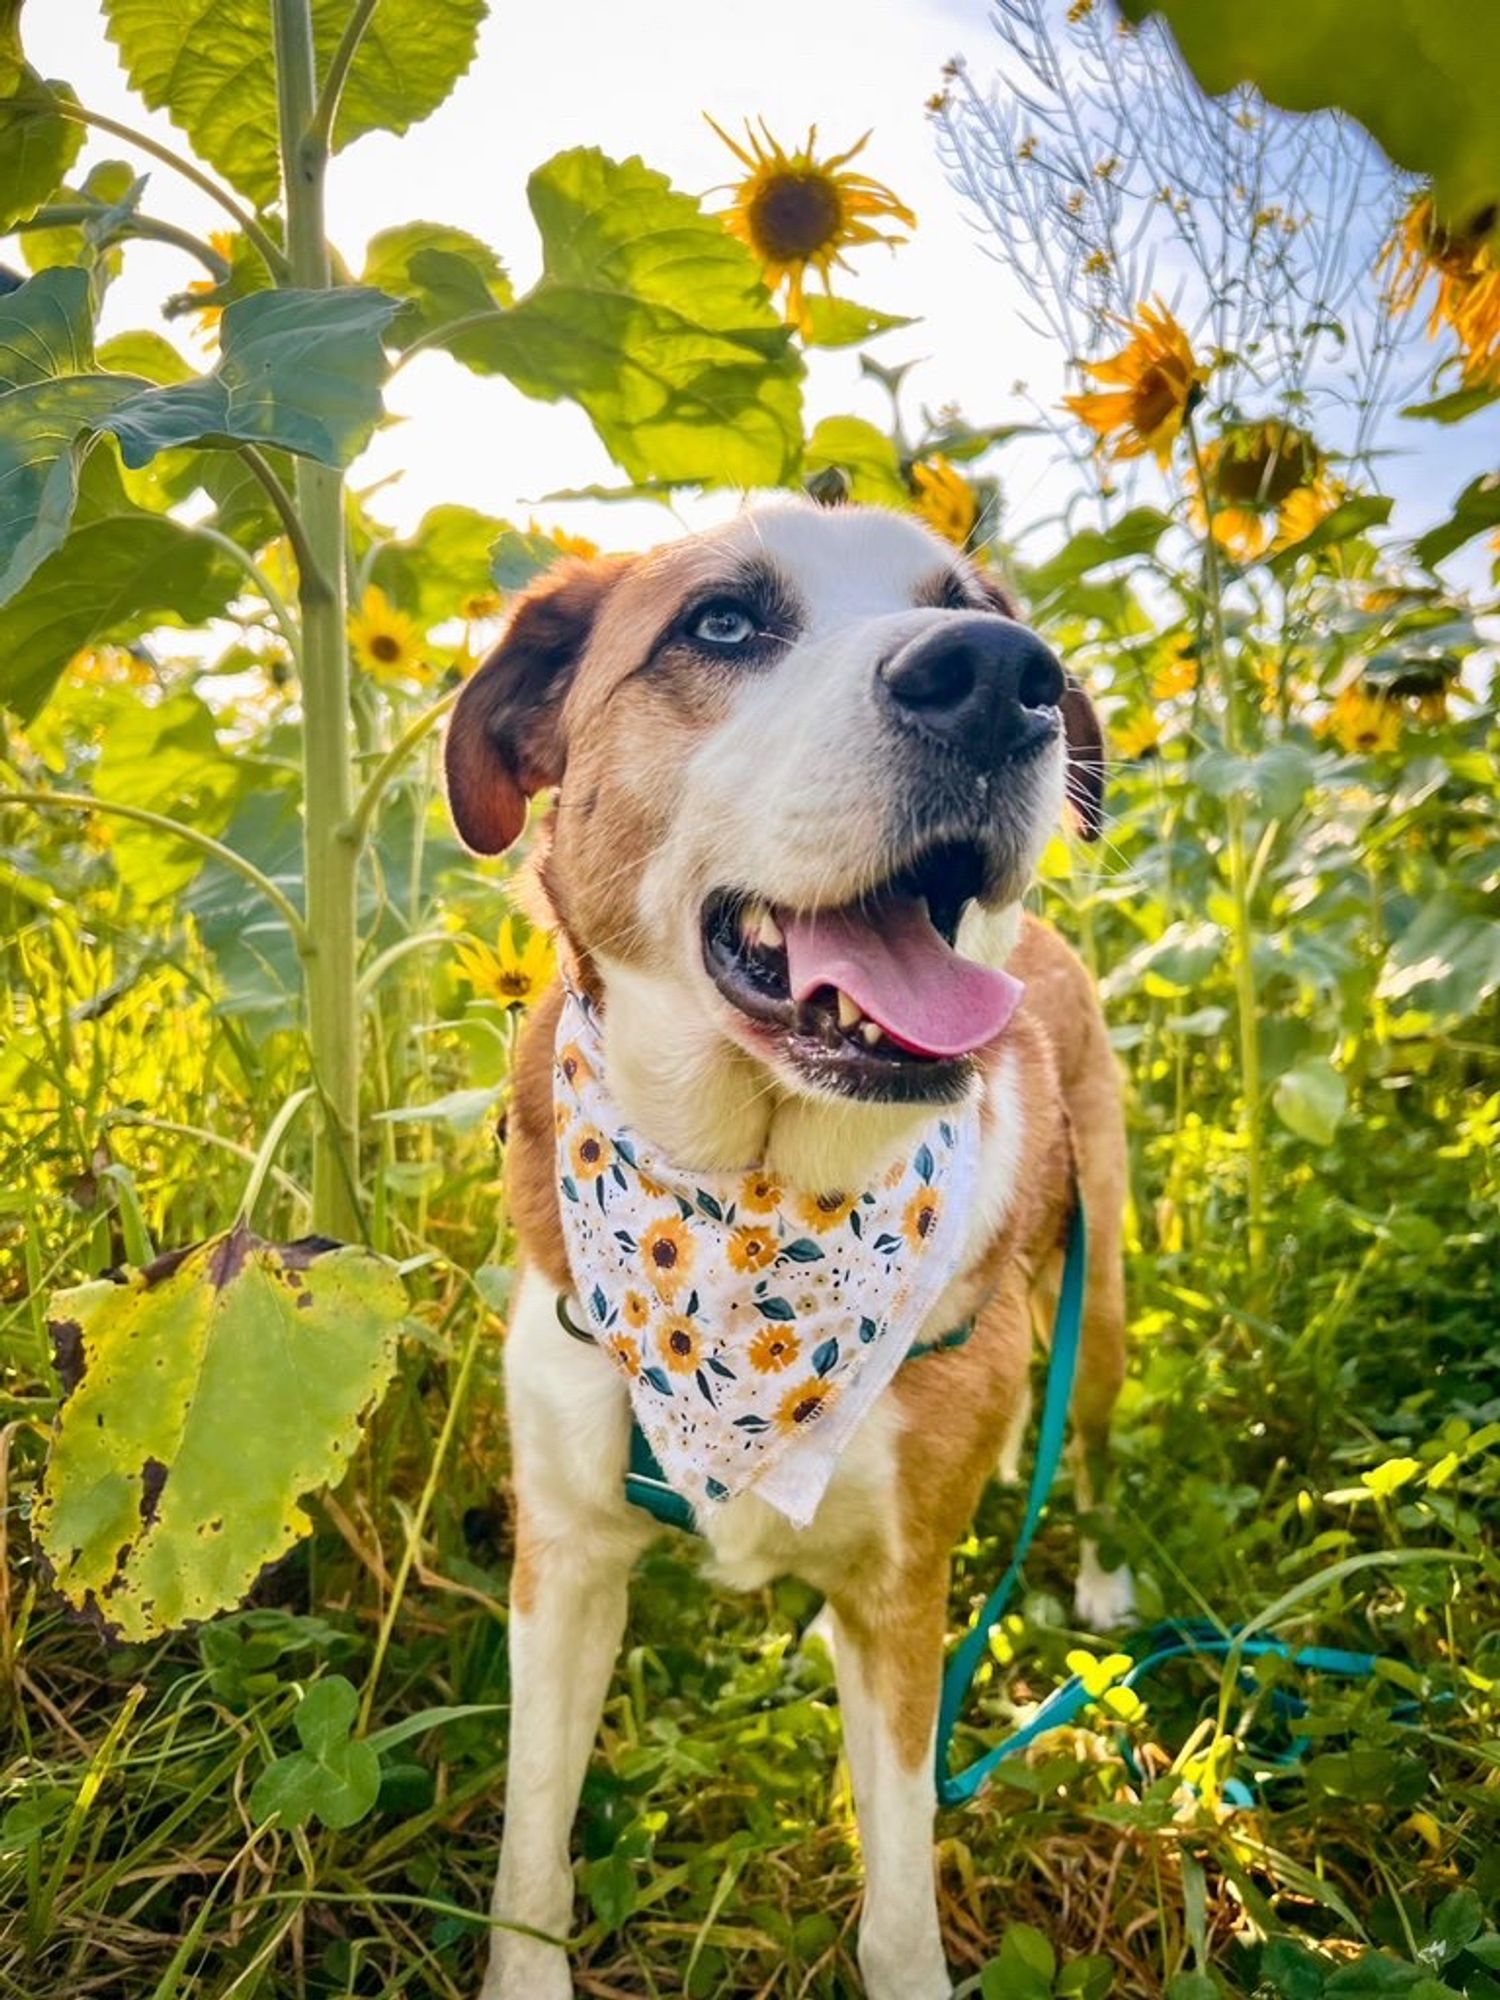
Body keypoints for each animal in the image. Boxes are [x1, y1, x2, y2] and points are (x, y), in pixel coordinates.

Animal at [452, 500, 1136, 2000]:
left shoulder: (901, 1597)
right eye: (719, 623)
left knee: (1093, 1436)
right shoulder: (565, 1559)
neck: (744, 1205)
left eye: (970, 604)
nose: (1003, 677)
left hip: (1105, 1289)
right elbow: (530, 1844)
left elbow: (900, 1894)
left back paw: (1104, 1578)